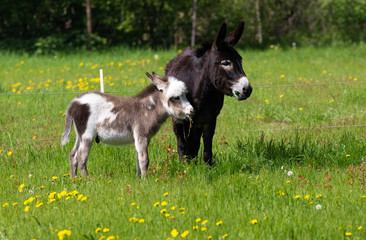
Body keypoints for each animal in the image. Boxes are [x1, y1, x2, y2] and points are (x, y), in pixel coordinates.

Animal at [62, 72, 194, 177]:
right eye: (176, 97)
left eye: (184, 95)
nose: (192, 110)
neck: (148, 109)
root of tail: (74, 103)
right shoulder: (141, 136)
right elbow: (144, 160)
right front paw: (145, 180)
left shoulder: (144, 138)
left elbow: (138, 159)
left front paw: (139, 179)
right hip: (87, 135)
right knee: (81, 157)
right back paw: (87, 180)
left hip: (80, 135)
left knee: (73, 155)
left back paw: (74, 179)